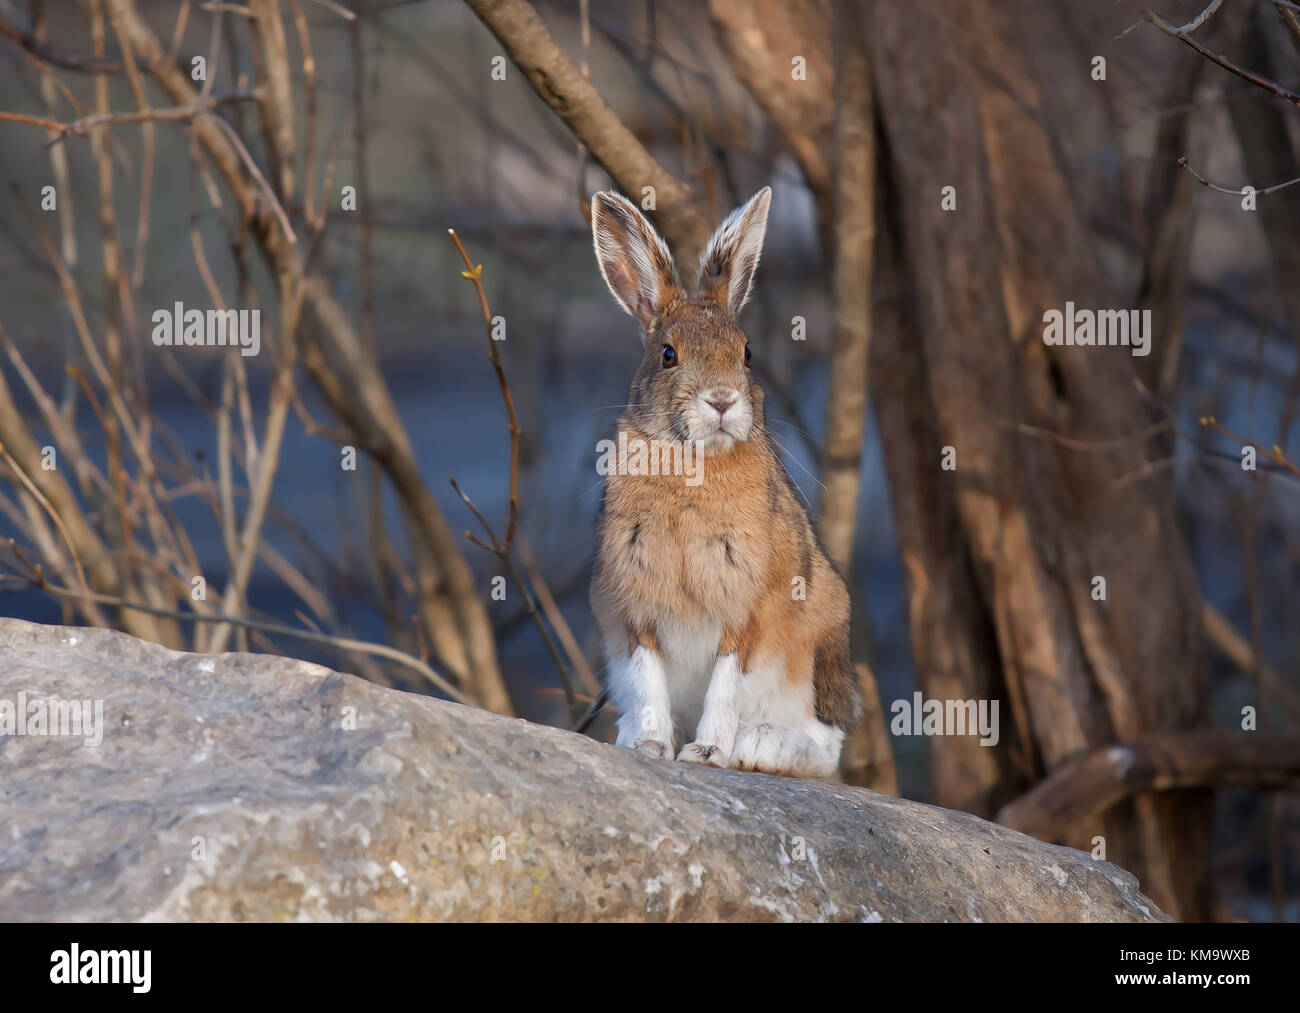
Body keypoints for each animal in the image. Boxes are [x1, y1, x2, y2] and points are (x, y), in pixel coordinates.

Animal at [588, 185, 860, 779]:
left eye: (747, 353)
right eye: (668, 355)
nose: (721, 401)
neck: (694, 464)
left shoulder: (749, 609)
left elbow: (726, 681)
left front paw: (708, 753)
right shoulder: (635, 606)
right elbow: (648, 678)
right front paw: (650, 748)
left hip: (814, 653)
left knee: (824, 748)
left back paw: (757, 747)